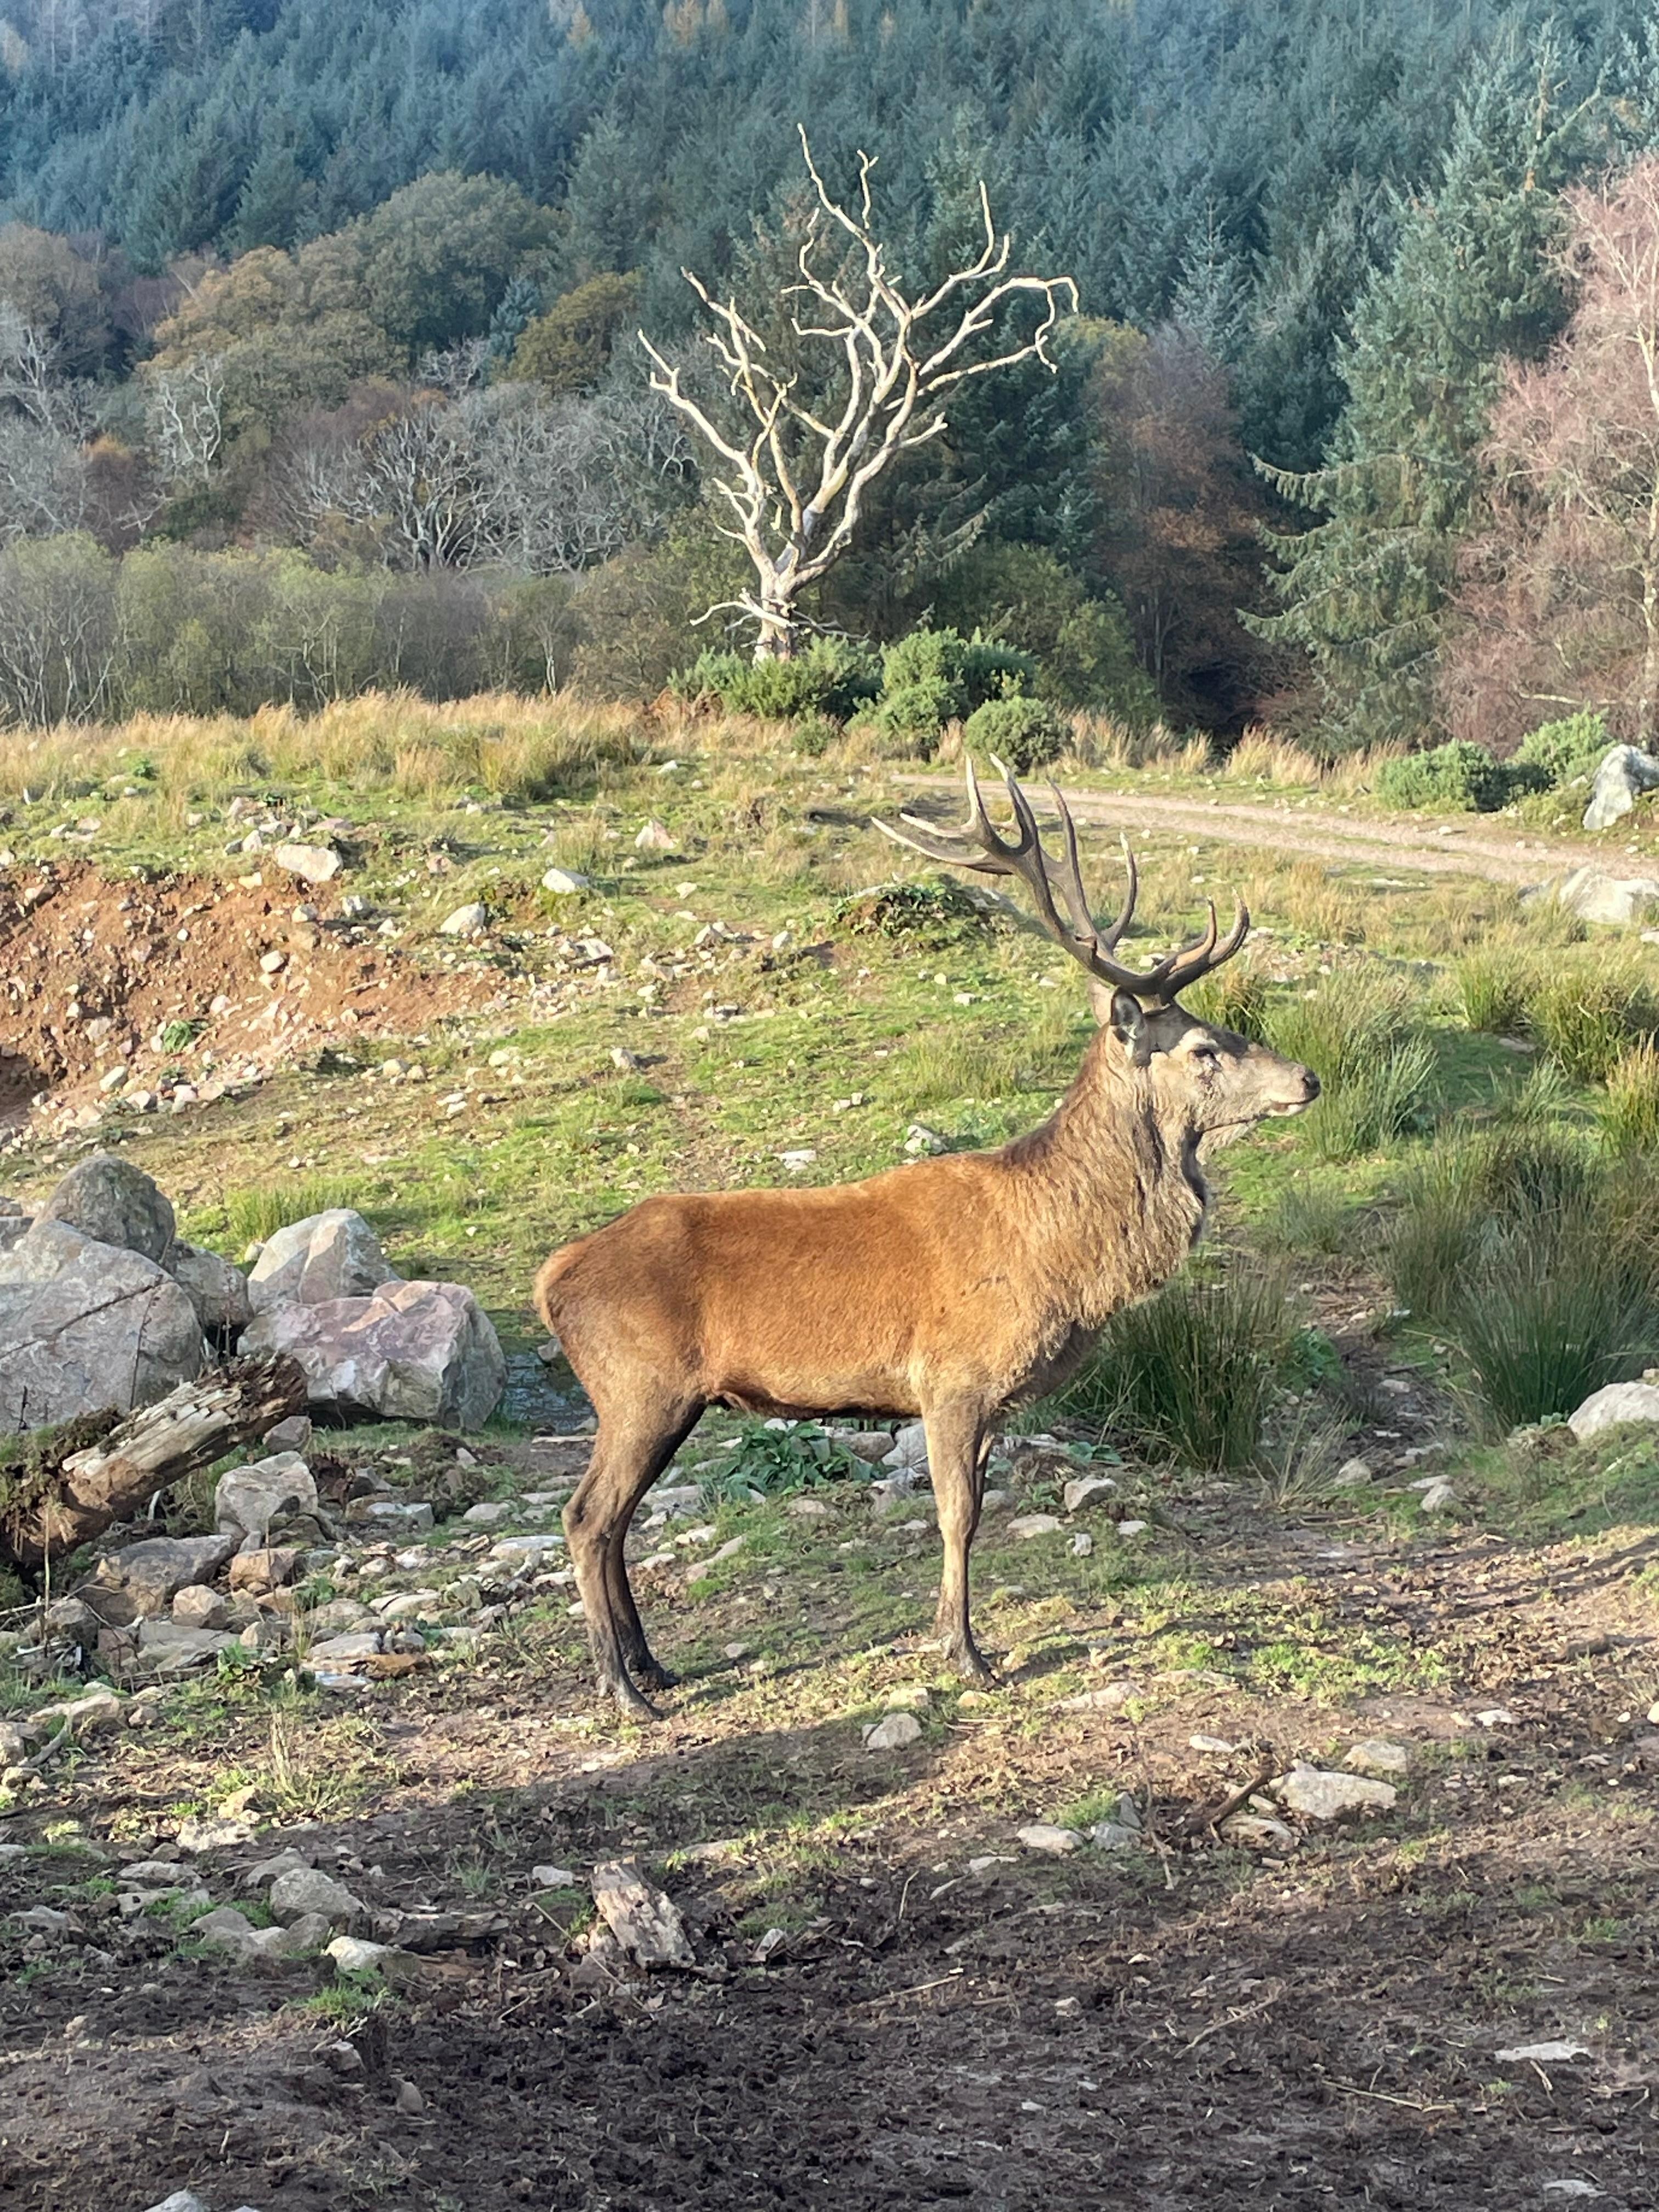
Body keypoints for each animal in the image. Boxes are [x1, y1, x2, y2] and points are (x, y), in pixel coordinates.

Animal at [534, 759, 1319, 1717]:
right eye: (1204, 1046)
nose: (1308, 1078)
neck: (1063, 1255)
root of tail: (552, 1277)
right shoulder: (953, 1378)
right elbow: (959, 1515)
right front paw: (966, 1652)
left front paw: (956, 1638)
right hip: (637, 1387)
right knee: (586, 1517)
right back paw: (623, 1687)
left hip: (662, 1400)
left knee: (615, 1522)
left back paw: (653, 1665)